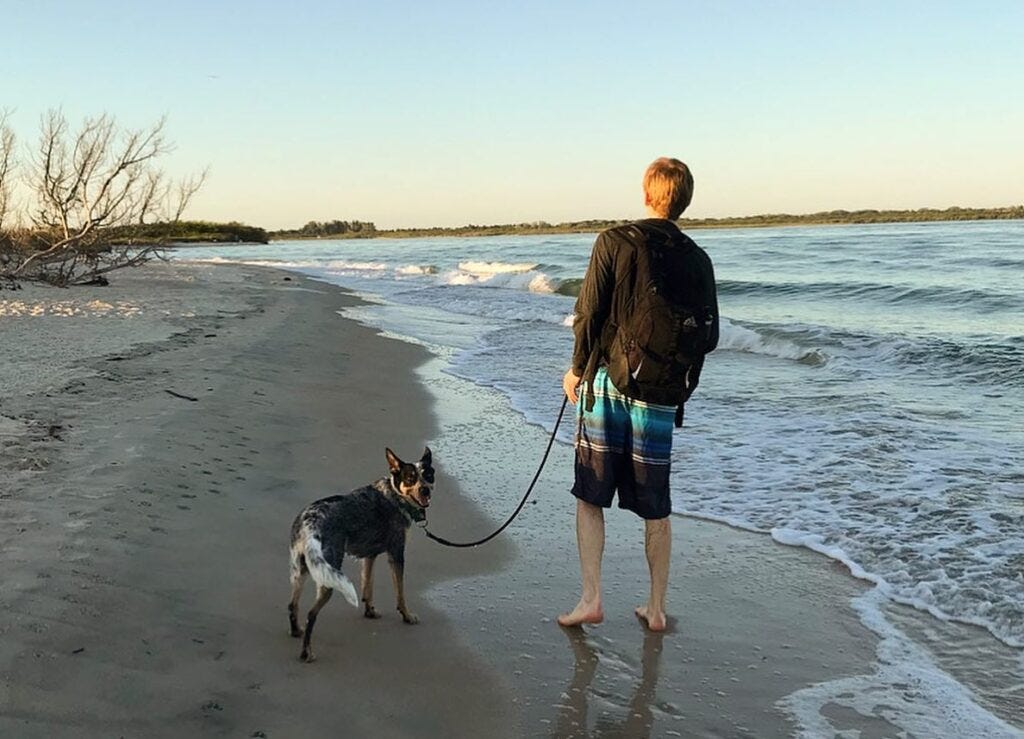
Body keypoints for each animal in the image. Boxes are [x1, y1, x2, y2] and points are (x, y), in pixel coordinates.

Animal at [286, 446, 434, 659]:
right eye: (410, 478)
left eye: (428, 475)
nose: (425, 489)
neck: (396, 495)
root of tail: (310, 522)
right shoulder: (396, 554)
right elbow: (400, 592)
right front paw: (407, 616)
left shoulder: (369, 556)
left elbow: (368, 586)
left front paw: (370, 611)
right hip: (328, 577)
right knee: (311, 614)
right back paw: (307, 653)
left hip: (301, 570)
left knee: (292, 605)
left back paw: (296, 631)